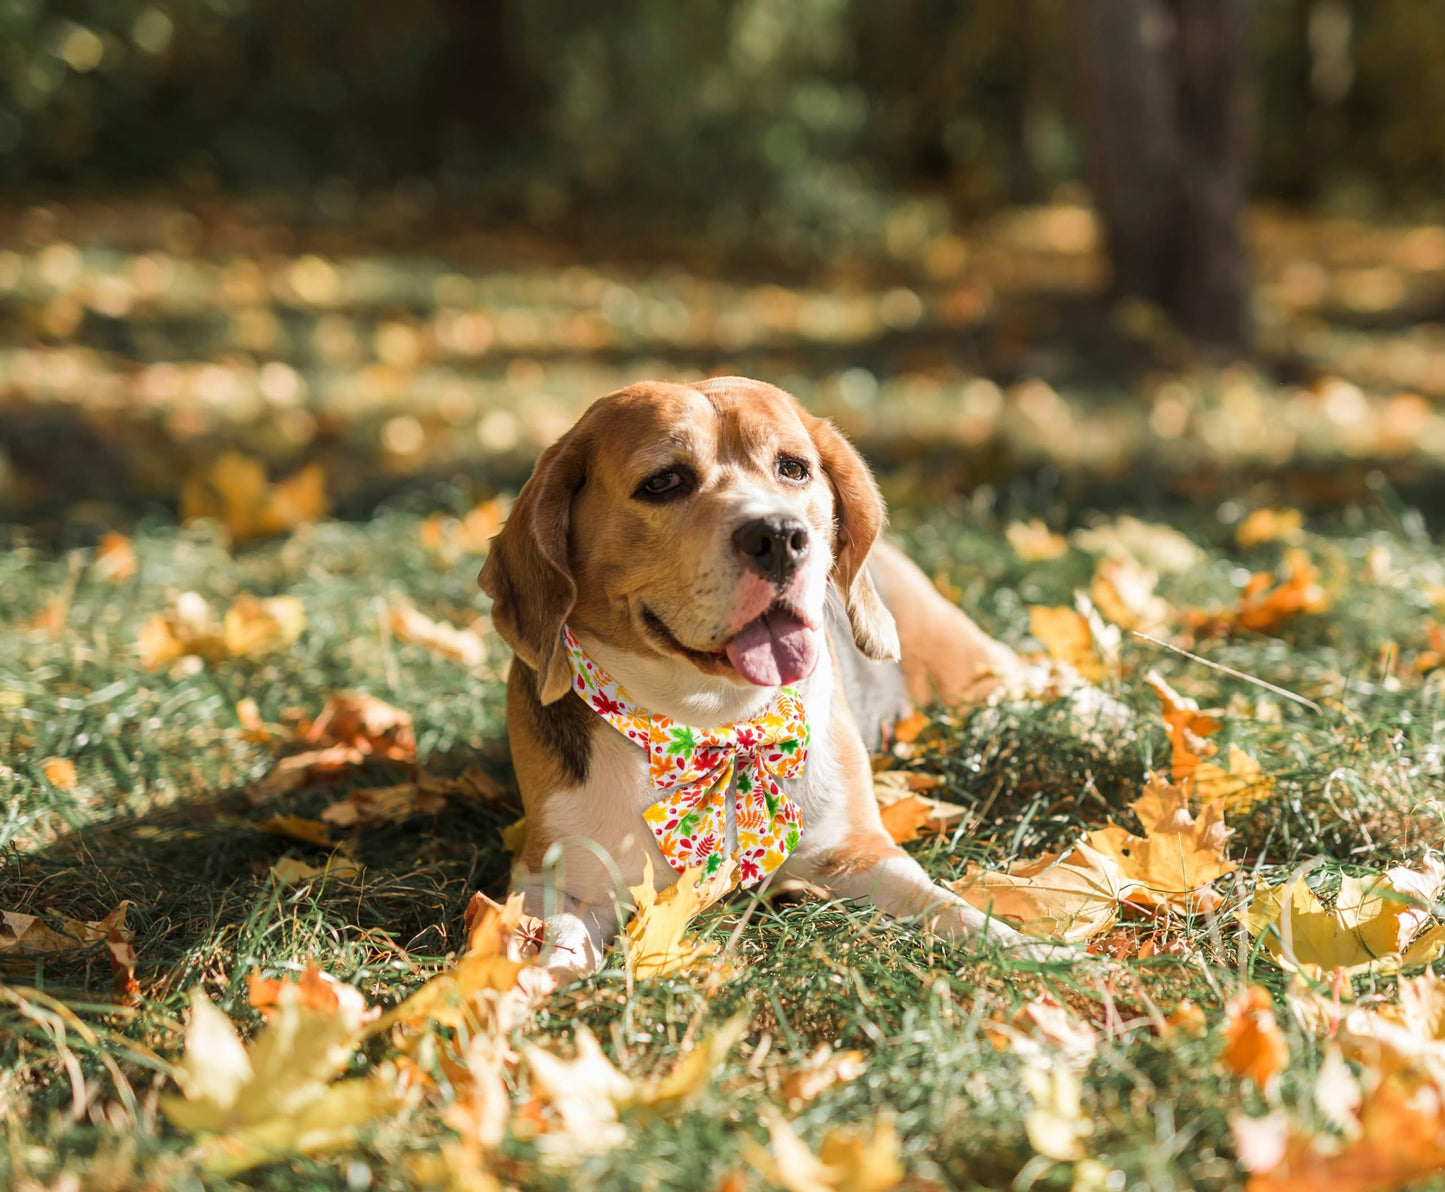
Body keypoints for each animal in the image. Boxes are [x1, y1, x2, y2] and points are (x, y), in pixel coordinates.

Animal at [479, 375, 1057, 970]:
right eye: (663, 481)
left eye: (794, 468)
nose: (781, 535)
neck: (714, 723)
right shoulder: (554, 878)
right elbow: (553, 947)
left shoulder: (863, 855)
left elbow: (952, 909)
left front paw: (1041, 955)